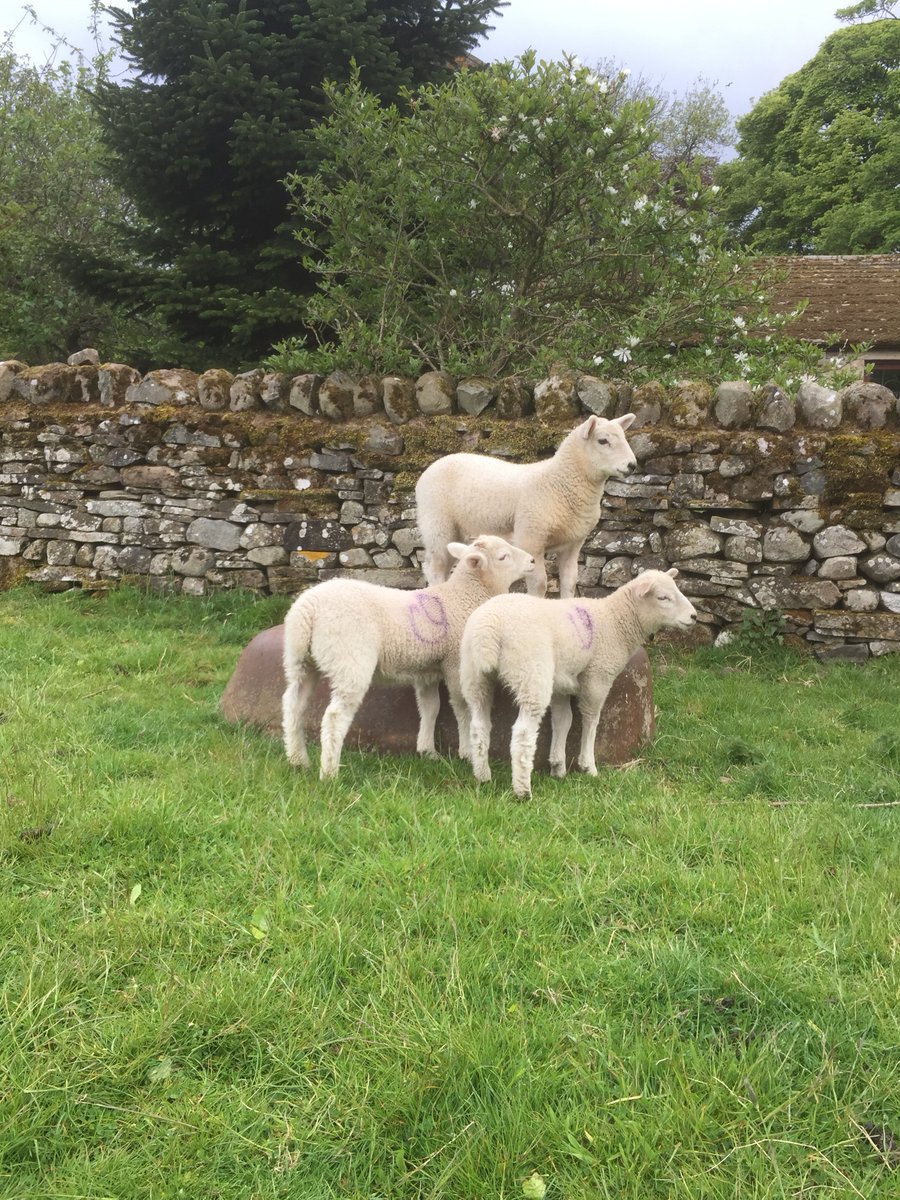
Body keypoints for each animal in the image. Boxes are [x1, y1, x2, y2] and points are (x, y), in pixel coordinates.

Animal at [282, 535, 535, 779]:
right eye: (503, 556)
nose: (533, 560)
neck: (463, 597)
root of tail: (308, 608)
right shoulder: (455, 664)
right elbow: (462, 708)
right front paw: (466, 752)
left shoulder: (426, 671)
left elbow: (430, 707)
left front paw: (427, 751)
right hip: (349, 660)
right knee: (334, 717)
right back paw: (329, 774)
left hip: (300, 661)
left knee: (294, 704)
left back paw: (298, 761)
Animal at [415, 413, 638, 598]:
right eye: (603, 440)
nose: (632, 465)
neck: (559, 482)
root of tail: (434, 465)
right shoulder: (531, 538)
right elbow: (539, 583)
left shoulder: (573, 543)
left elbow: (570, 582)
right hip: (437, 525)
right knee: (434, 568)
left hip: (456, 531)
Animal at [460, 568, 697, 798]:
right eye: (663, 597)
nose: (694, 616)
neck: (616, 621)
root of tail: (490, 629)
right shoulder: (597, 678)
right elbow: (591, 720)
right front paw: (588, 766)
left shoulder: (561, 684)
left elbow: (563, 720)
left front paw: (558, 766)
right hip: (531, 674)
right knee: (523, 734)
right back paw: (523, 791)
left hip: (475, 676)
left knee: (479, 725)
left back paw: (483, 776)